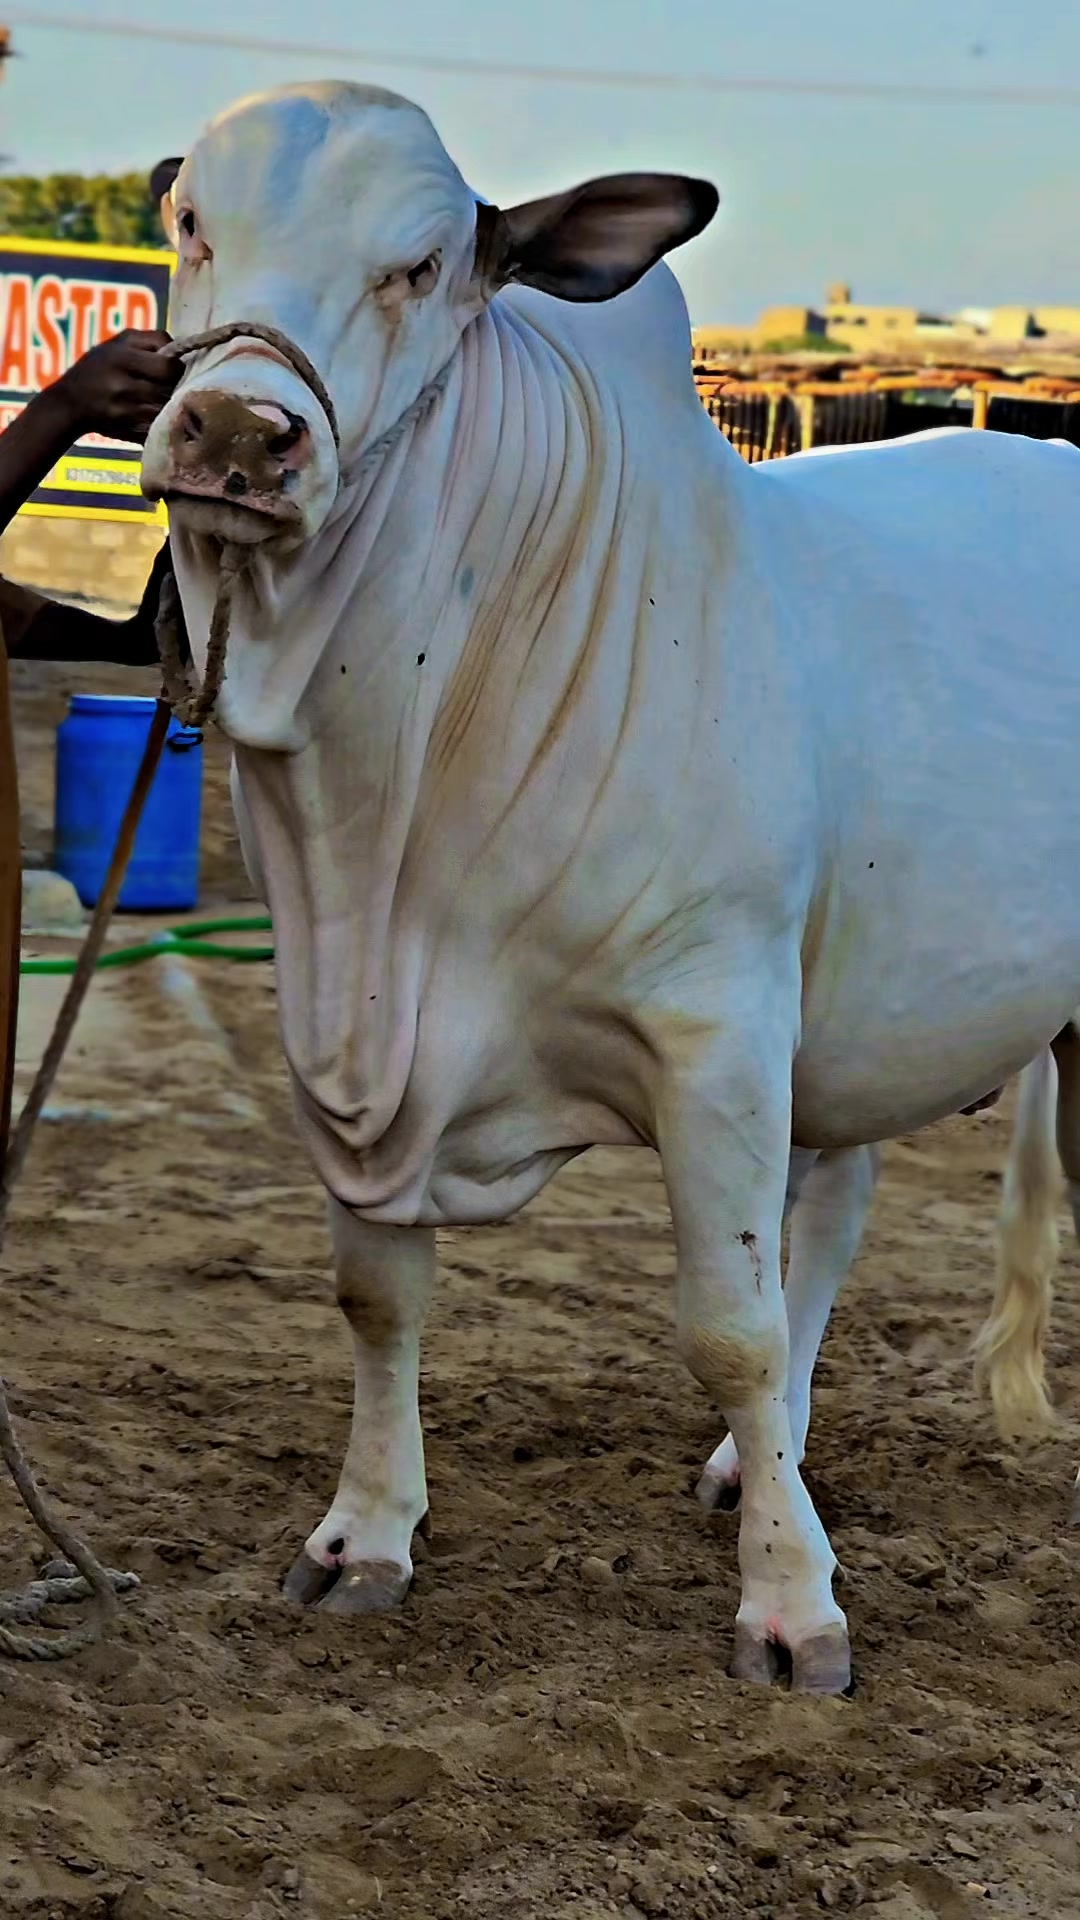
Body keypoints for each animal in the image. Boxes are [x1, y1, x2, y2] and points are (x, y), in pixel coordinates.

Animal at [141, 80, 1080, 1695]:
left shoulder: (716, 1033)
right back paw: (760, 1467)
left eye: (422, 266)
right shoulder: (341, 1045)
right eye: (191, 219)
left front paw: (792, 1609)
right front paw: (364, 1536)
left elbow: (729, 1328)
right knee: (838, 1209)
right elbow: (378, 1292)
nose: (234, 431)